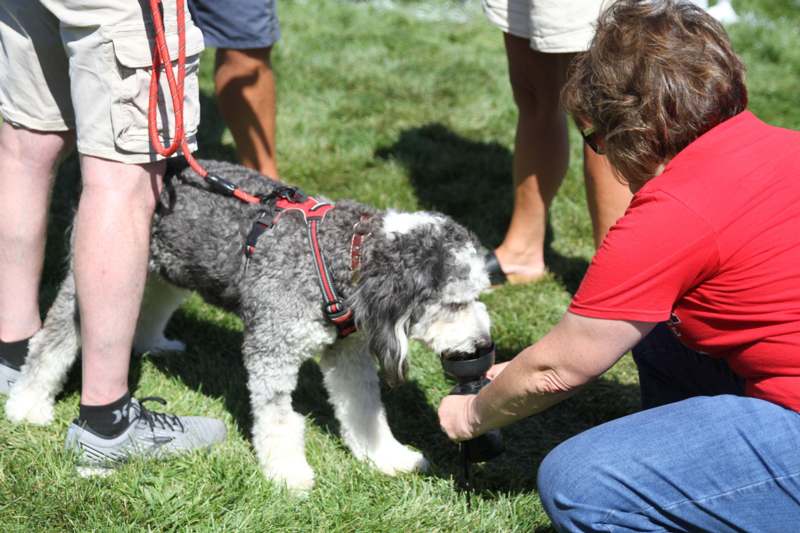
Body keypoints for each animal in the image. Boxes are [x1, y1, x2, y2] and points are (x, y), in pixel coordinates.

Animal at [4, 159, 494, 490]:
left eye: (478, 296)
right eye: (454, 303)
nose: (483, 344)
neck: (340, 256)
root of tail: (171, 166)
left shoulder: (348, 353)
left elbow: (365, 410)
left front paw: (386, 458)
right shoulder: (272, 352)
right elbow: (280, 420)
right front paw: (289, 473)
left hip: (170, 269)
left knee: (156, 300)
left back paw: (153, 342)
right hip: (92, 275)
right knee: (52, 340)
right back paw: (27, 405)